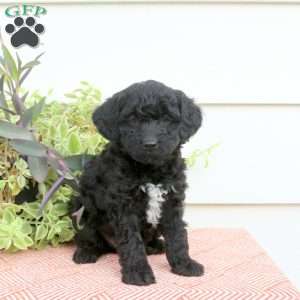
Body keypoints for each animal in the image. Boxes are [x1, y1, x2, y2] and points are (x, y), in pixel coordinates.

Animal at [71, 79, 204, 286]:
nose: (150, 144)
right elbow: (132, 241)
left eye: (166, 118)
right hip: (82, 209)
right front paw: (138, 273)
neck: (150, 170)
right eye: (132, 119)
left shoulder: (172, 200)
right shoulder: (124, 205)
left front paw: (184, 265)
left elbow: (178, 235)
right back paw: (86, 253)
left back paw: (156, 245)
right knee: (88, 238)